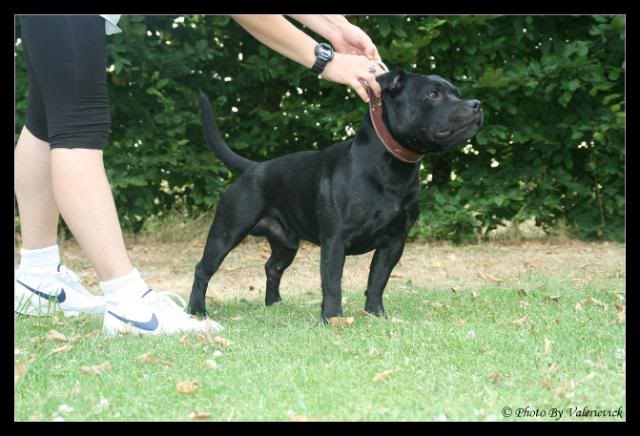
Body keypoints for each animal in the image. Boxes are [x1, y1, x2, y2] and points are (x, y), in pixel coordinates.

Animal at [188, 67, 482, 320]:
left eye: (457, 92)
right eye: (433, 94)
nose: (476, 104)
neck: (391, 168)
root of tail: (254, 167)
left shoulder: (394, 241)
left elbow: (378, 280)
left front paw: (375, 314)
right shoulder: (334, 240)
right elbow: (332, 283)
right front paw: (332, 318)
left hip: (286, 242)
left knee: (273, 267)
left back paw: (274, 304)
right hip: (226, 232)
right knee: (203, 269)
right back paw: (197, 311)